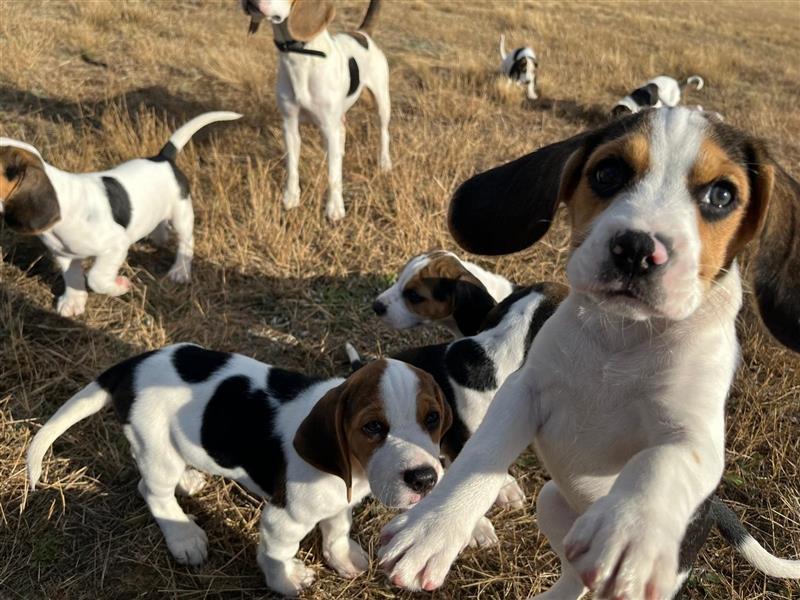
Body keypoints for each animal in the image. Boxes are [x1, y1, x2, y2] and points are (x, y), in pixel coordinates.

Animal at [0, 112, 241, 318]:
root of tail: (162, 158)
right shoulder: (63, 253)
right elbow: (73, 277)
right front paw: (74, 301)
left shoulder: (115, 245)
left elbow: (96, 278)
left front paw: (119, 286)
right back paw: (158, 237)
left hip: (181, 215)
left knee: (186, 242)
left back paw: (180, 271)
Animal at [28, 344, 454, 596]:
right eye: (373, 428)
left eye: (432, 418)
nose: (424, 479)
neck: (348, 468)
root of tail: (130, 367)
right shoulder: (283, 519)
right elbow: (279, 552)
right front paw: (286, 580)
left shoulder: (339, 501)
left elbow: (336, 529)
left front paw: (342, 557)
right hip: (154, 447)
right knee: (152, 492)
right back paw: (184, 536)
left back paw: (189, 479)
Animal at [244, 0, 394, 220]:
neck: (299, 55)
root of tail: (362, 33)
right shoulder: (290, 125)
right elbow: (292, 166)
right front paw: (291, 198)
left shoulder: (328, 126)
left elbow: (333, 174)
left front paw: (335, 208)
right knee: (342, 133)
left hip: (381, 102)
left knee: (383, 133)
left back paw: (384, 163)